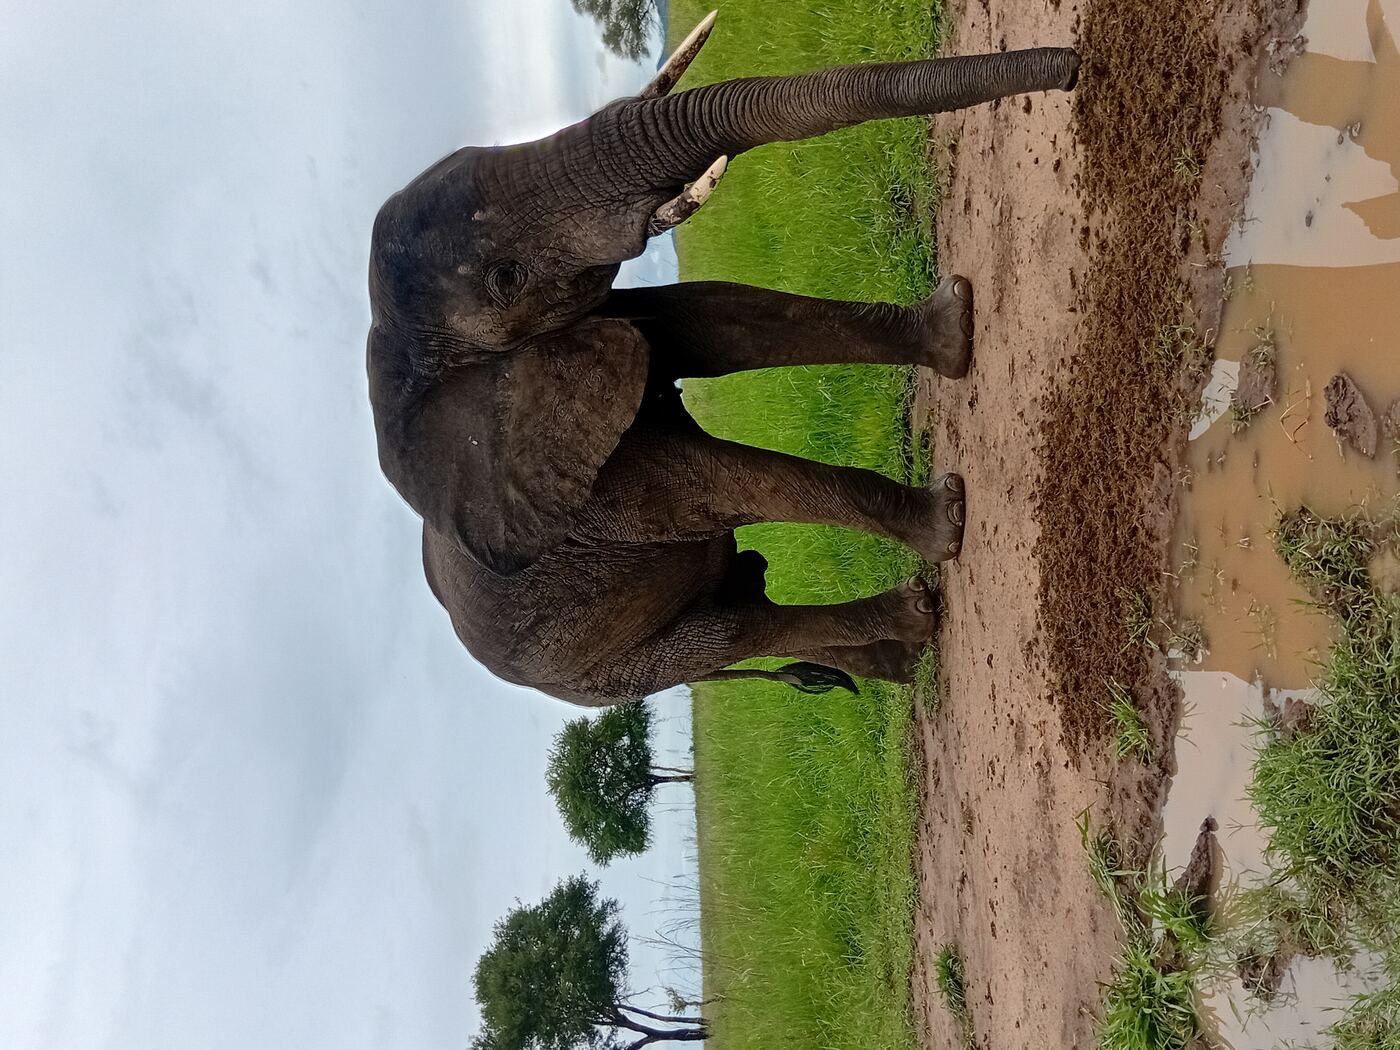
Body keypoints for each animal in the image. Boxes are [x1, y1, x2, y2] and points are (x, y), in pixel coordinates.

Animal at [367, 15, 1080, 705]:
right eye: (505, 279)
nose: (1074, 66)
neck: (395, 360)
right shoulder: (581, 493)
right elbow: (710, 482)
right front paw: (947, 521)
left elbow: (721, 321)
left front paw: (954, 328)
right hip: (599, 669)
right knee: (739, 630)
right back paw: (916, 615)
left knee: (746, 587)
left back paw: (897, 658)